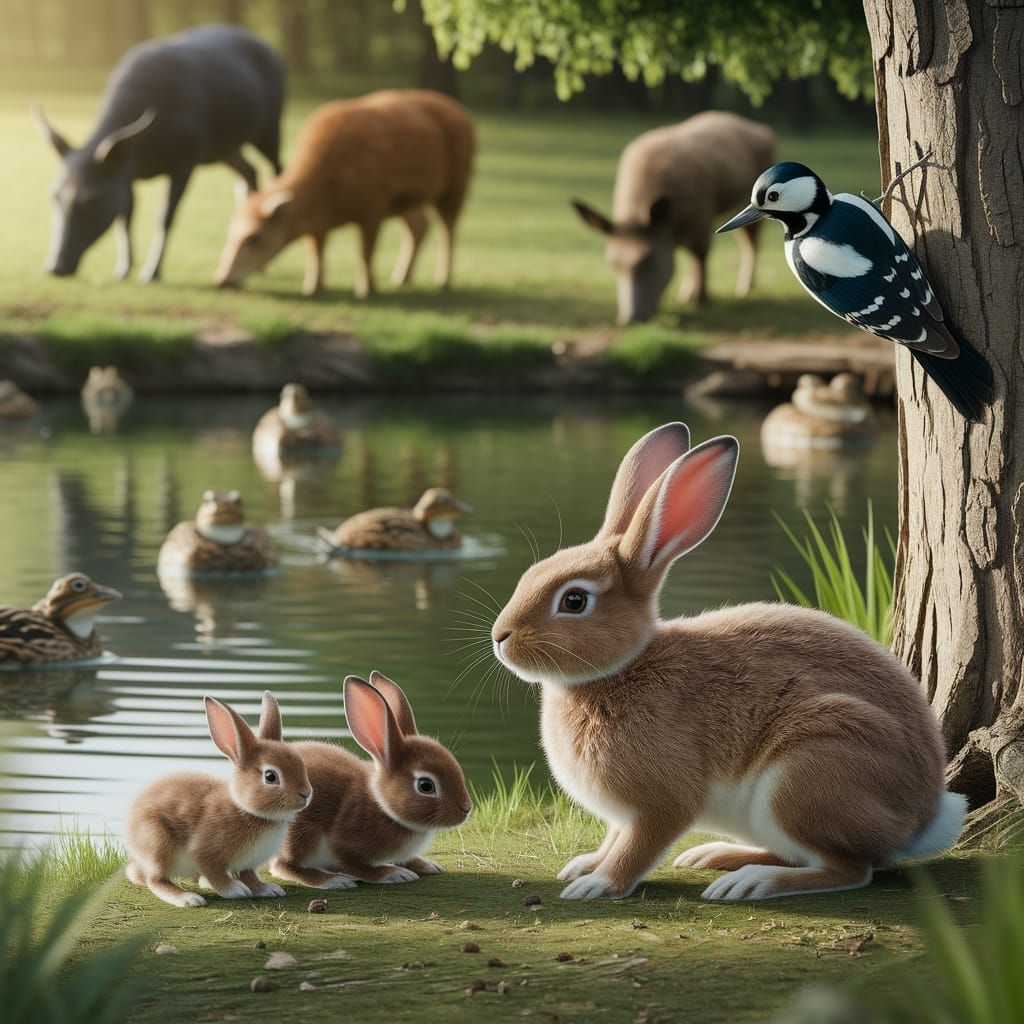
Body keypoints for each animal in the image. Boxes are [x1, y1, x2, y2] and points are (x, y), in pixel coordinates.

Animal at [125, 691, 312, 907]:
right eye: (270, 776)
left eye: (300, 763)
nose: (306, 793)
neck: (248, 810)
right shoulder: (205, 852)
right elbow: (215, 873)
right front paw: (234, 890)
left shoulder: (247, 864)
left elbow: (249, 876)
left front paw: (267, 889)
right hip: (158, 845)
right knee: (156, 880)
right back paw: (187, 898)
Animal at [270, 671, 472, 888]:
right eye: (426, 786)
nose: (466, 809)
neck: (384, 807)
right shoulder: (344, 844)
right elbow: (358, 867)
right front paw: (394, 874)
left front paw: (427, 865)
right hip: (300, 835)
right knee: (284, 866)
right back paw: (333, 880)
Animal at [490, 422, 965, 902]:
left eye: (574, 600)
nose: (500, 638)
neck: (623, 667)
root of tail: (922, 819)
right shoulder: (622, 816)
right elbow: (613, 839)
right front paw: (584, 865)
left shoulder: (662, 801)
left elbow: (637, 848)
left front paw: (596, 885)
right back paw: (718, 856)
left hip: (809, 772)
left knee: (849, 868)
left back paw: (749, 882)